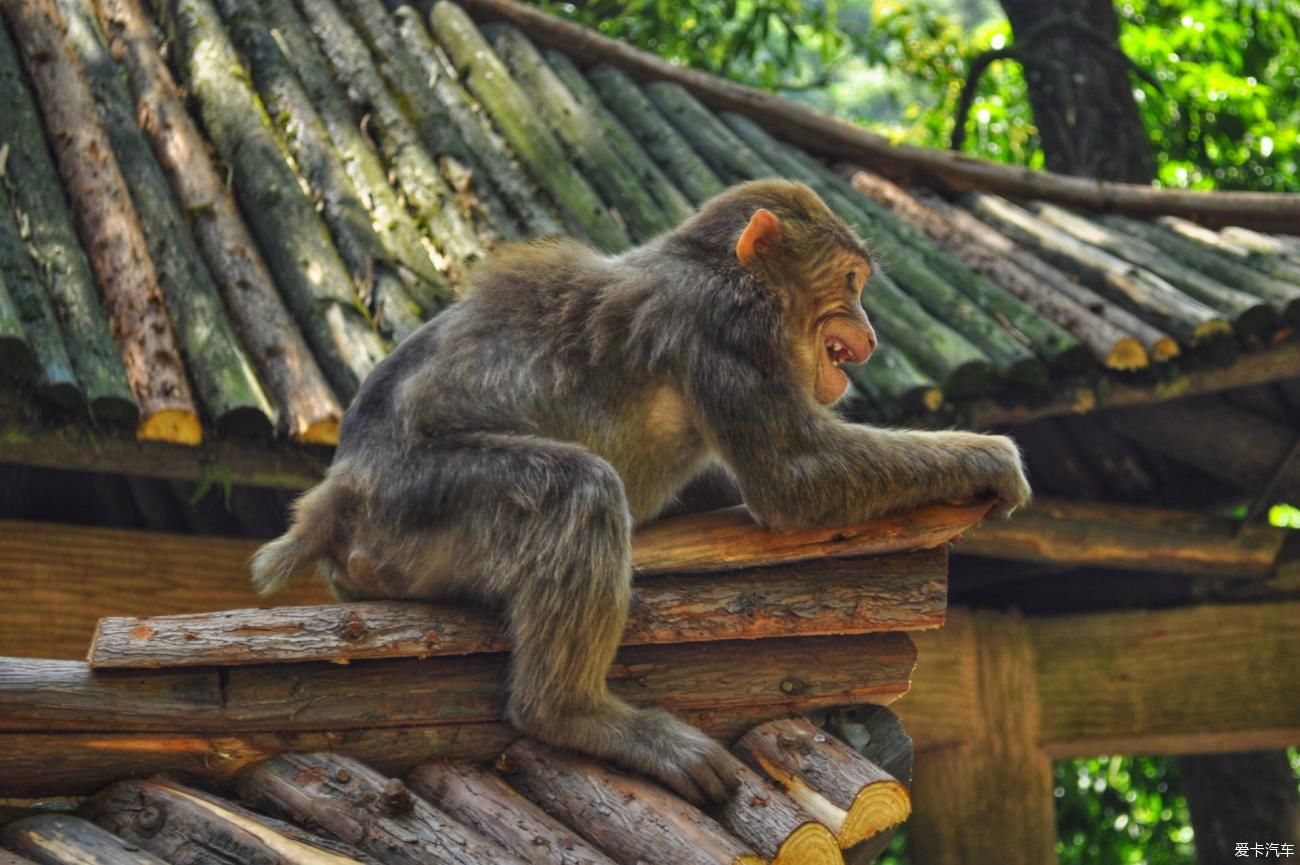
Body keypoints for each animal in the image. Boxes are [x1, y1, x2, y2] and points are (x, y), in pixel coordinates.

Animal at [250, 178, 1024, 806]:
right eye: (851, 278)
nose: (867, 332)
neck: (717, 266)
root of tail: (340, 494)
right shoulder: (730, 321)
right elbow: (791, 477)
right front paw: (985, 456)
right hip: (414, 503)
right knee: (579, 487)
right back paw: (573, 714)